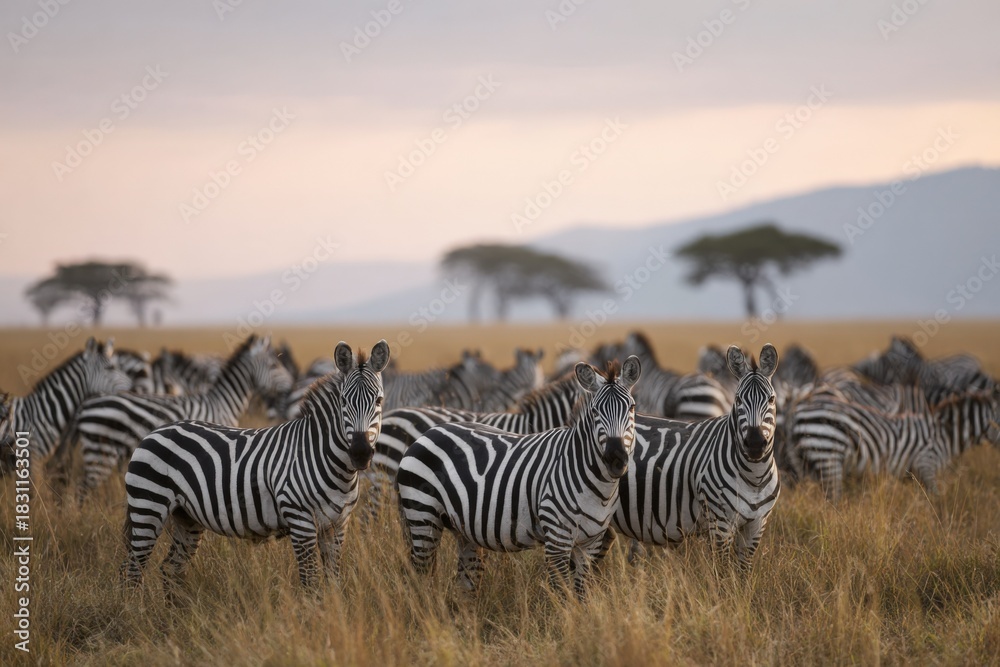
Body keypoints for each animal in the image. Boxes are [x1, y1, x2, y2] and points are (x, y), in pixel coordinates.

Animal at [73, 335, 294, 500]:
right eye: (274, 365)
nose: (292, 387)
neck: (221, 402)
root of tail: (88, 403)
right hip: (100, 451)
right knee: (83, 490)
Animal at [120, 340, 390, 595]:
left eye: (379, 400)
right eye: (343, 401)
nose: (360, 453)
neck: (331, 463)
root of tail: (156, 431)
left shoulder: (338, 525)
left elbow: (333, 581)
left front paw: (333, 611)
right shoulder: (301, 521)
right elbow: (310, 583)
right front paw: (314, 612)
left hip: (186, 517)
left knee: (170, 568)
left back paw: (176, 612)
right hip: (148, 507)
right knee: (133, 570)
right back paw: (137, 611)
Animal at [396, 356, 641, 597]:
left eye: (632, 408)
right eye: (595, 411)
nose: (615, 458)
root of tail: (428, 433)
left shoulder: (590, 543)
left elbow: (582, 596)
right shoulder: (557, 540)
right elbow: (562, 596)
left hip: (461, 530)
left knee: (464, 587)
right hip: (423, 516)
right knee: (418, 578)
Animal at [609, 344, 780, 571]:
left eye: (771, 399)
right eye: (738, 400)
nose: (754, 443)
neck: (755, 477)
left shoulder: (757, 525)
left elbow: (743, 572)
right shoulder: (720, 523)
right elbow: (723, 573)